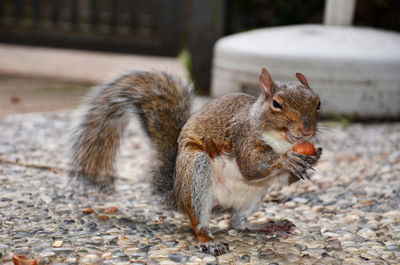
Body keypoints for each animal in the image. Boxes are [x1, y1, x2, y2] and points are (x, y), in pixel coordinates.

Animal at [69, 67, 322, 253]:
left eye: (318, 103)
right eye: (276, 104)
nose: (306, 131)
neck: (280, 140)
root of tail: (177, 194)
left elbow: (284, 180)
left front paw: (314, 157)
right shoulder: (242, 138)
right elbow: (251, 166)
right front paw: (287, 159)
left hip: (255, 195)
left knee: (238, 222)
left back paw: (266, 225)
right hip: (196, 172)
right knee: (200, 222)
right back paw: (209, 241)